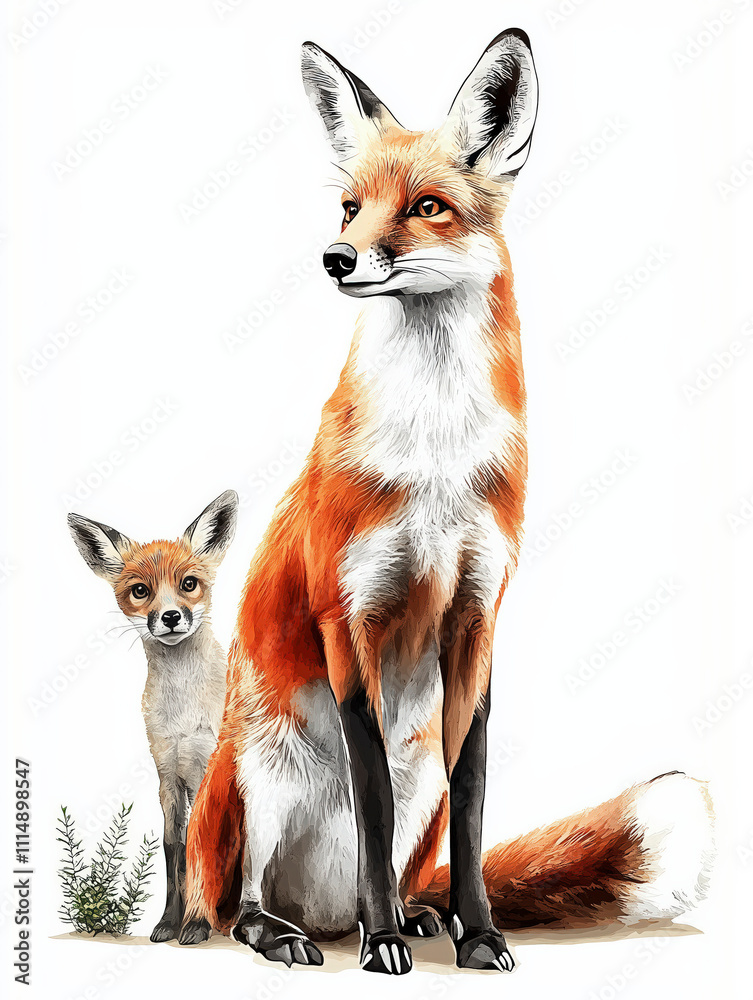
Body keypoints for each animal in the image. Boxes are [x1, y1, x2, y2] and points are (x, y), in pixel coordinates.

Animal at [67, 490, 239, 943]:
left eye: (188, 585)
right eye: (141, 591)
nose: (171, 617)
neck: (183, 715)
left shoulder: (207, 770)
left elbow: (199, 844)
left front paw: (196, 923)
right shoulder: (167, 776)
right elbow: (173, 851)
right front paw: (168, 922)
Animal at [179, 31, 714, 975]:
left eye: (426, 206)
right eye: (350, 208)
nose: (336, 259)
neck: (433, 460)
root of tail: (319, 909)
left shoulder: (476, 615)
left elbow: (473, 798)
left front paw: (480, 932)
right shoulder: (345, 616)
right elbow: (368, 798)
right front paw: (383, 942)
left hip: (412, 768)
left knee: (400, 856)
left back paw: (415, 914)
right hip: (257, 779)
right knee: (238, 903)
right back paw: (303, 931)